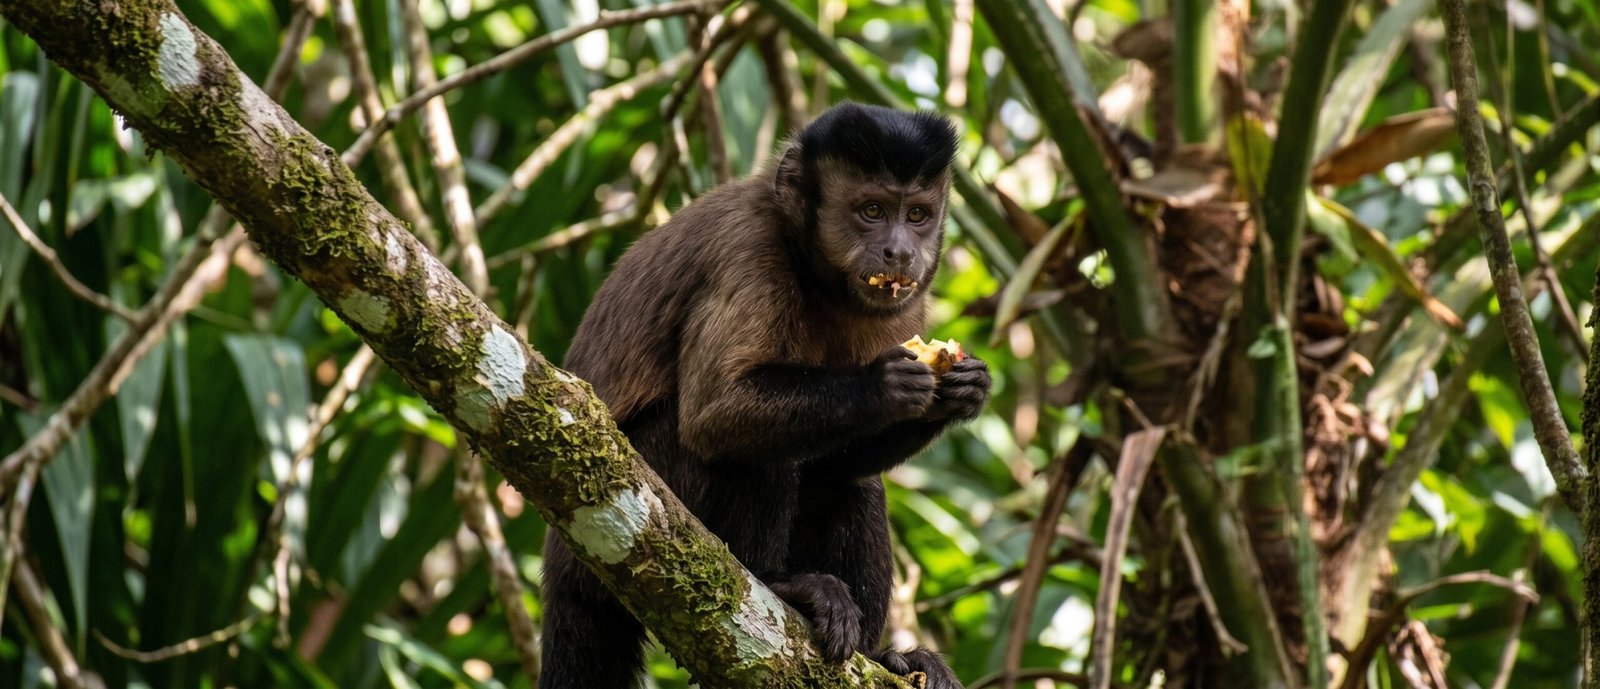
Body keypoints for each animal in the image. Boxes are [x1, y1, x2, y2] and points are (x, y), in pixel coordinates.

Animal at [541, 102, 989, 689]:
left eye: (917, 215)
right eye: (871, 210)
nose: (900, 251)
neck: (812, 268)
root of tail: (559, 564)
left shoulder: (907, 302)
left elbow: (844, 460)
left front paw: (961, 391)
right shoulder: (748, 248)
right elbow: (715, 413)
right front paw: (882, 385)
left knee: (848, 481)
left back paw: (883, 658)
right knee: (745, 450)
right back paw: (781, 585)